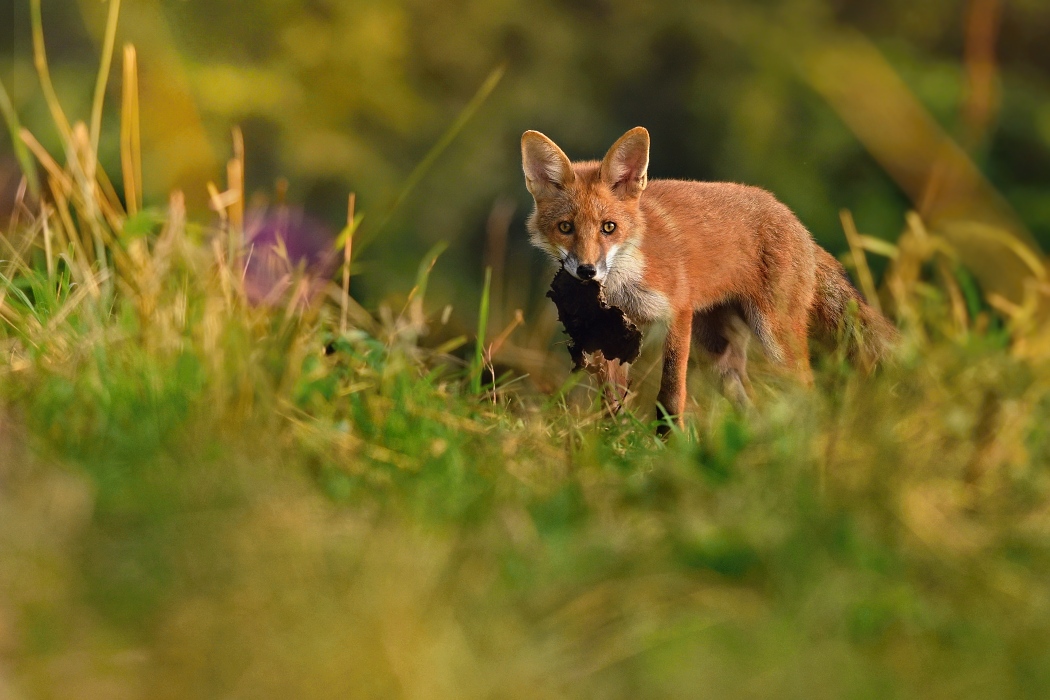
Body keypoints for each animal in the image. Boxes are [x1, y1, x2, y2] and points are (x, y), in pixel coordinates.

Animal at [520, 126, 898, 432]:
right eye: (565, 227)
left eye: (608, 227)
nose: (587, 271)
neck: (624, 283)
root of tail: (799, 225)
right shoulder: (611, 330)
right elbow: (612, 403)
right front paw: (615, 444)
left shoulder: (677, 313)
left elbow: (671, 393)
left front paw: (668, 441)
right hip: (719, 359)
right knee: (751, 402)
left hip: (774, 338)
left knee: (806, 390)